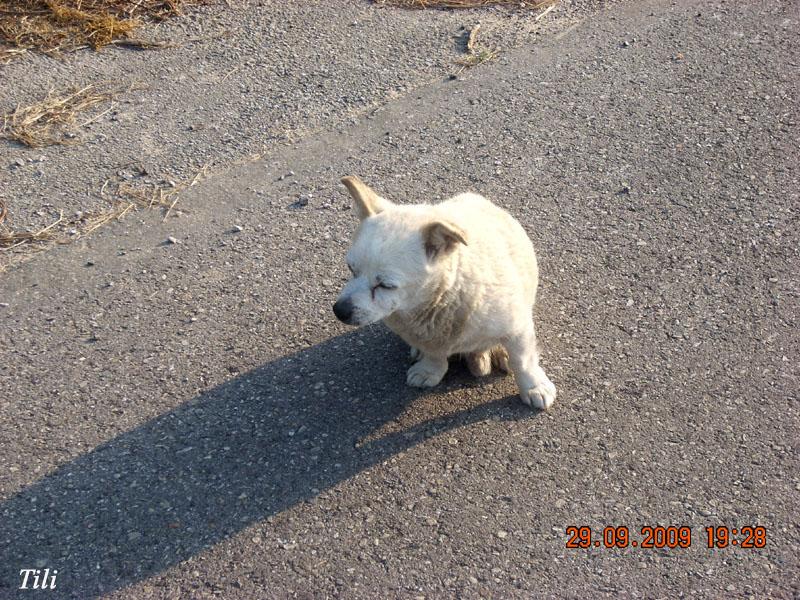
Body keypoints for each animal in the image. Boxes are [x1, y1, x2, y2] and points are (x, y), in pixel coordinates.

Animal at [332, 176, 556, 410]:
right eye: (351, 269)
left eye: (385, 285)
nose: (339, 311)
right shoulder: (429, 335)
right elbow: (435, 355)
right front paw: (430, 370)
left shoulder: (517, 327)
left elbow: (523, 361)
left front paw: (534, 386)